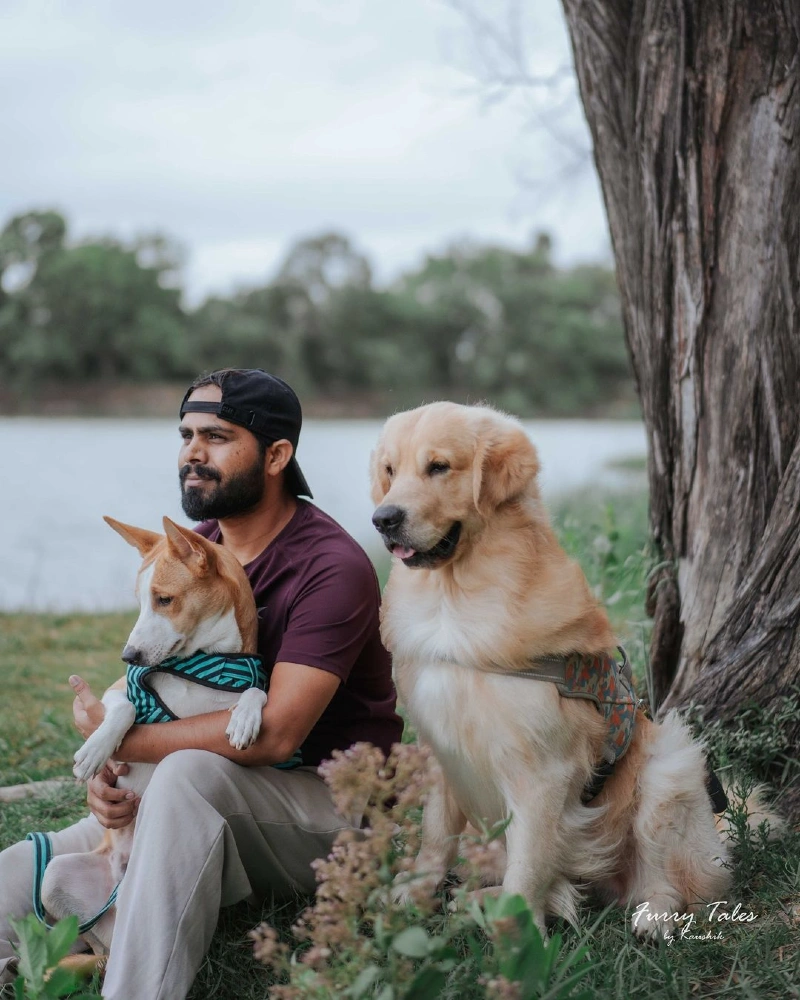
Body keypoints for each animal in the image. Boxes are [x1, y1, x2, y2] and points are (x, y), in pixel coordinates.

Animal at [40, 520, 264, 956]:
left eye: (164, 599)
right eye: (140, 602)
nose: (129, 655)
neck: (202, 662)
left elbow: (257, 691)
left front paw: (245, 717)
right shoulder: (116, 691)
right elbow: (123, 710)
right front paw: (95, 751)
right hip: (54, 876)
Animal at [368, 402, 732, 932]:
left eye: (439, 467)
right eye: (390, 471)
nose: (383, 518)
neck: (454, 601)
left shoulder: (542, 773)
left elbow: (527, 870)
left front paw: (517, 940)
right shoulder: (440, 749)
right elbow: (436, 836)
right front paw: (412, 894)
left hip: (669, 769)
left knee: (670, 880)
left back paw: (654, 914)